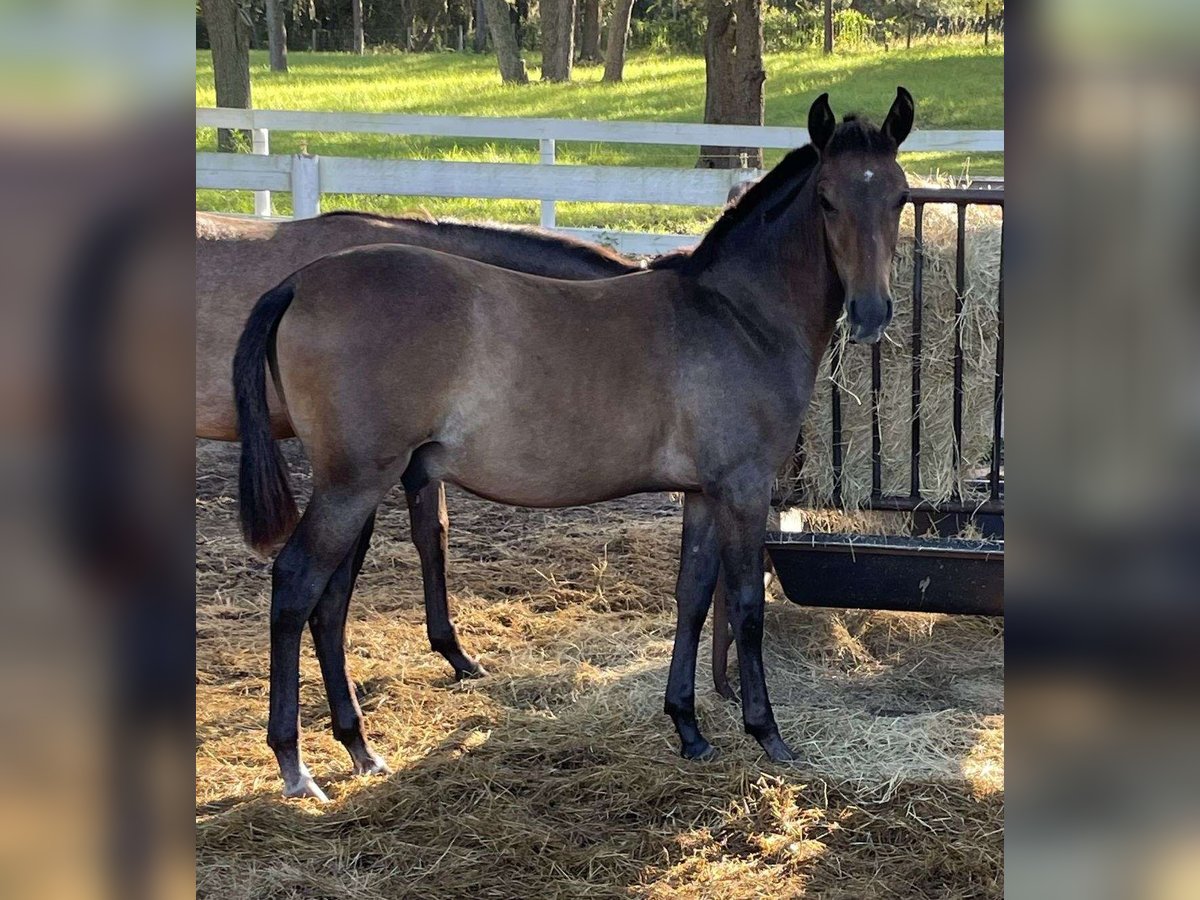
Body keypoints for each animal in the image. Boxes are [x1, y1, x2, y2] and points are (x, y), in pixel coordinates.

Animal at [234, 91, 912, 801]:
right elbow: (748, 607)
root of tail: (300, 283)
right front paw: (768, 735)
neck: (737, 315)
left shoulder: (703, 494)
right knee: (296, 586)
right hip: (352, 486)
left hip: (360, 489)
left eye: (898, 196)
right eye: (828, 199)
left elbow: (692, 598)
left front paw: (688, 727)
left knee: (330, 604)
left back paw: (359, 747)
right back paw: (295, 765)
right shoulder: (744, 491)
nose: (872, 315)